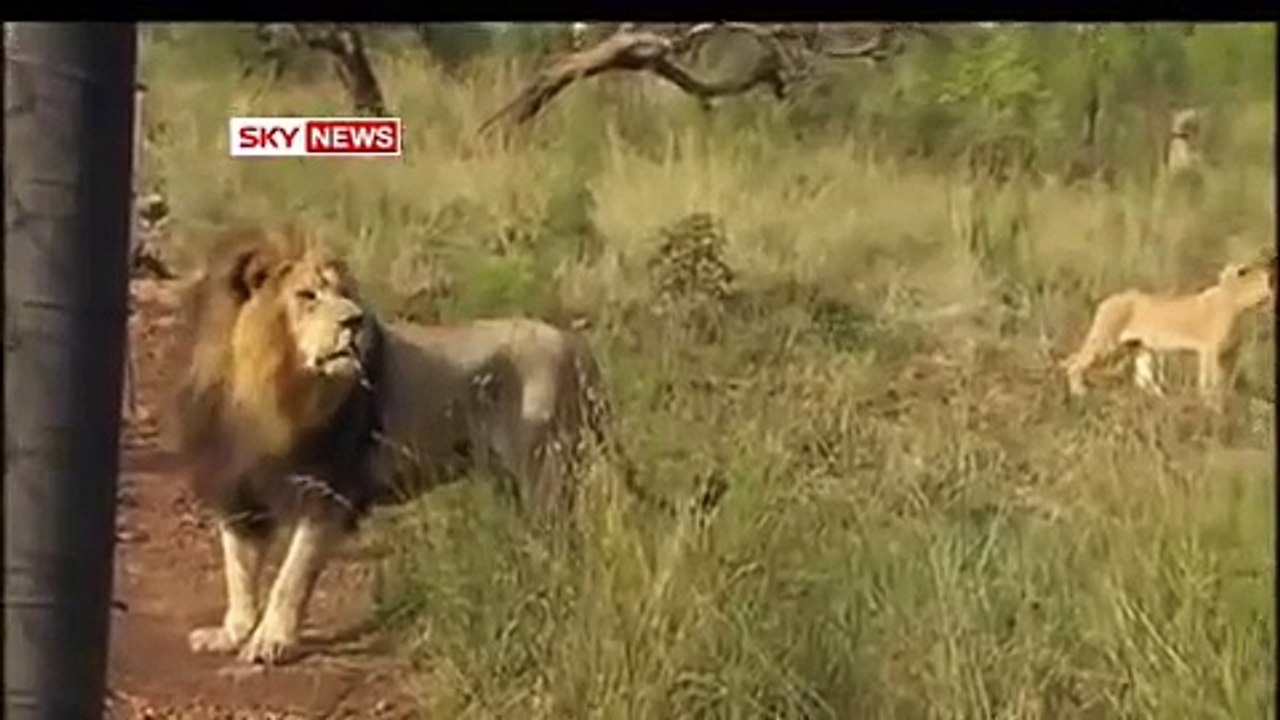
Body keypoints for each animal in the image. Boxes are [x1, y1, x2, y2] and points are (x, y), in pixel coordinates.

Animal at [169, 225, 624, 666]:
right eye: (307, 296)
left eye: (345, 294)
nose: (354, 321)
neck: (263, 390)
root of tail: (574, 344)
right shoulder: (236, 490)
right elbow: (239, 572)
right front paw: (232, 633)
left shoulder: (326, 493)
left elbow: (290, 578)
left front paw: (271, 641)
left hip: (544, 468)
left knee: (564, 539)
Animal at [1061, 255, 1276, 409]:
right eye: (1265, 281)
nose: (1271, 295)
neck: (1236, 302)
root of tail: (1108, 300)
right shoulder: (1209, 350)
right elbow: (1210, 382)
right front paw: (1211, 407)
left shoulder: (1230, 353)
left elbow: (1224, 382)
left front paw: (1224, 405)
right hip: (1107, 342)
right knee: (1073, 362)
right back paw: (1079, 393)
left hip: (1140, 348)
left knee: (1143, 379)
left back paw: (1162, 401)